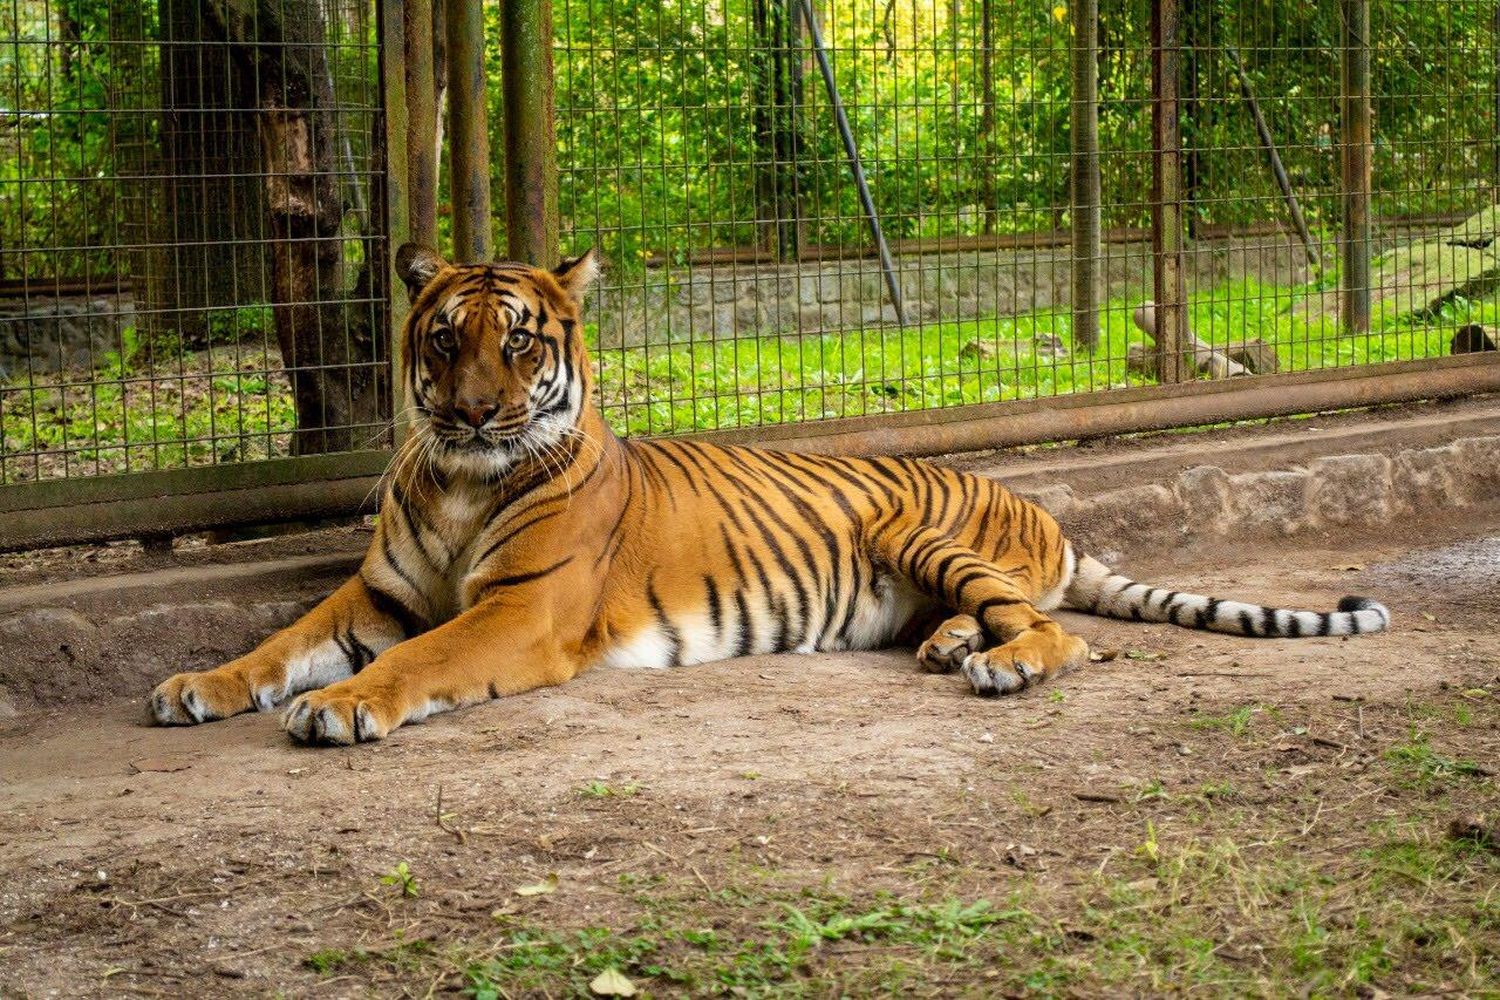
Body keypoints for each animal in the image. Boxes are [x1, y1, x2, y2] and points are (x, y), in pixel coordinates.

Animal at [146, 242, 1386, 743]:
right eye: (444, 339)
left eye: (520, 341)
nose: (476, 415)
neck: (458, 484)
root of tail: (1040, 507)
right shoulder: (379, 595)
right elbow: (278, 643)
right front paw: (196, 685)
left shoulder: (520, 612)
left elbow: (416, 663)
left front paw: (342, 707)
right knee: (1003, 615)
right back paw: (950, 646)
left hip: (929, 532)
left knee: (1060, 632)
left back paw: (995, 666)